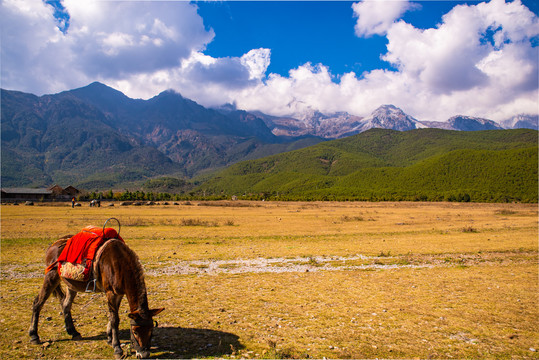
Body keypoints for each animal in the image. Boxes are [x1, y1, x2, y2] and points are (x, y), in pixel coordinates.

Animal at [28, 233, 163, 358]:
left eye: (151, 330)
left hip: (71, 284)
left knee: (66, 305)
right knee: (38, 303)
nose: (144, 354)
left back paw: (73, 332)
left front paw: (109, 338)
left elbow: (112, 316)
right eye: (134, 331)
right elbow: (115, 319)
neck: (119, 265)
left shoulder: (119, 294)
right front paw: (117, 348)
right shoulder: (110, 292)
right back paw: (34, 335)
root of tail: (53, 245)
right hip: (51, 277)